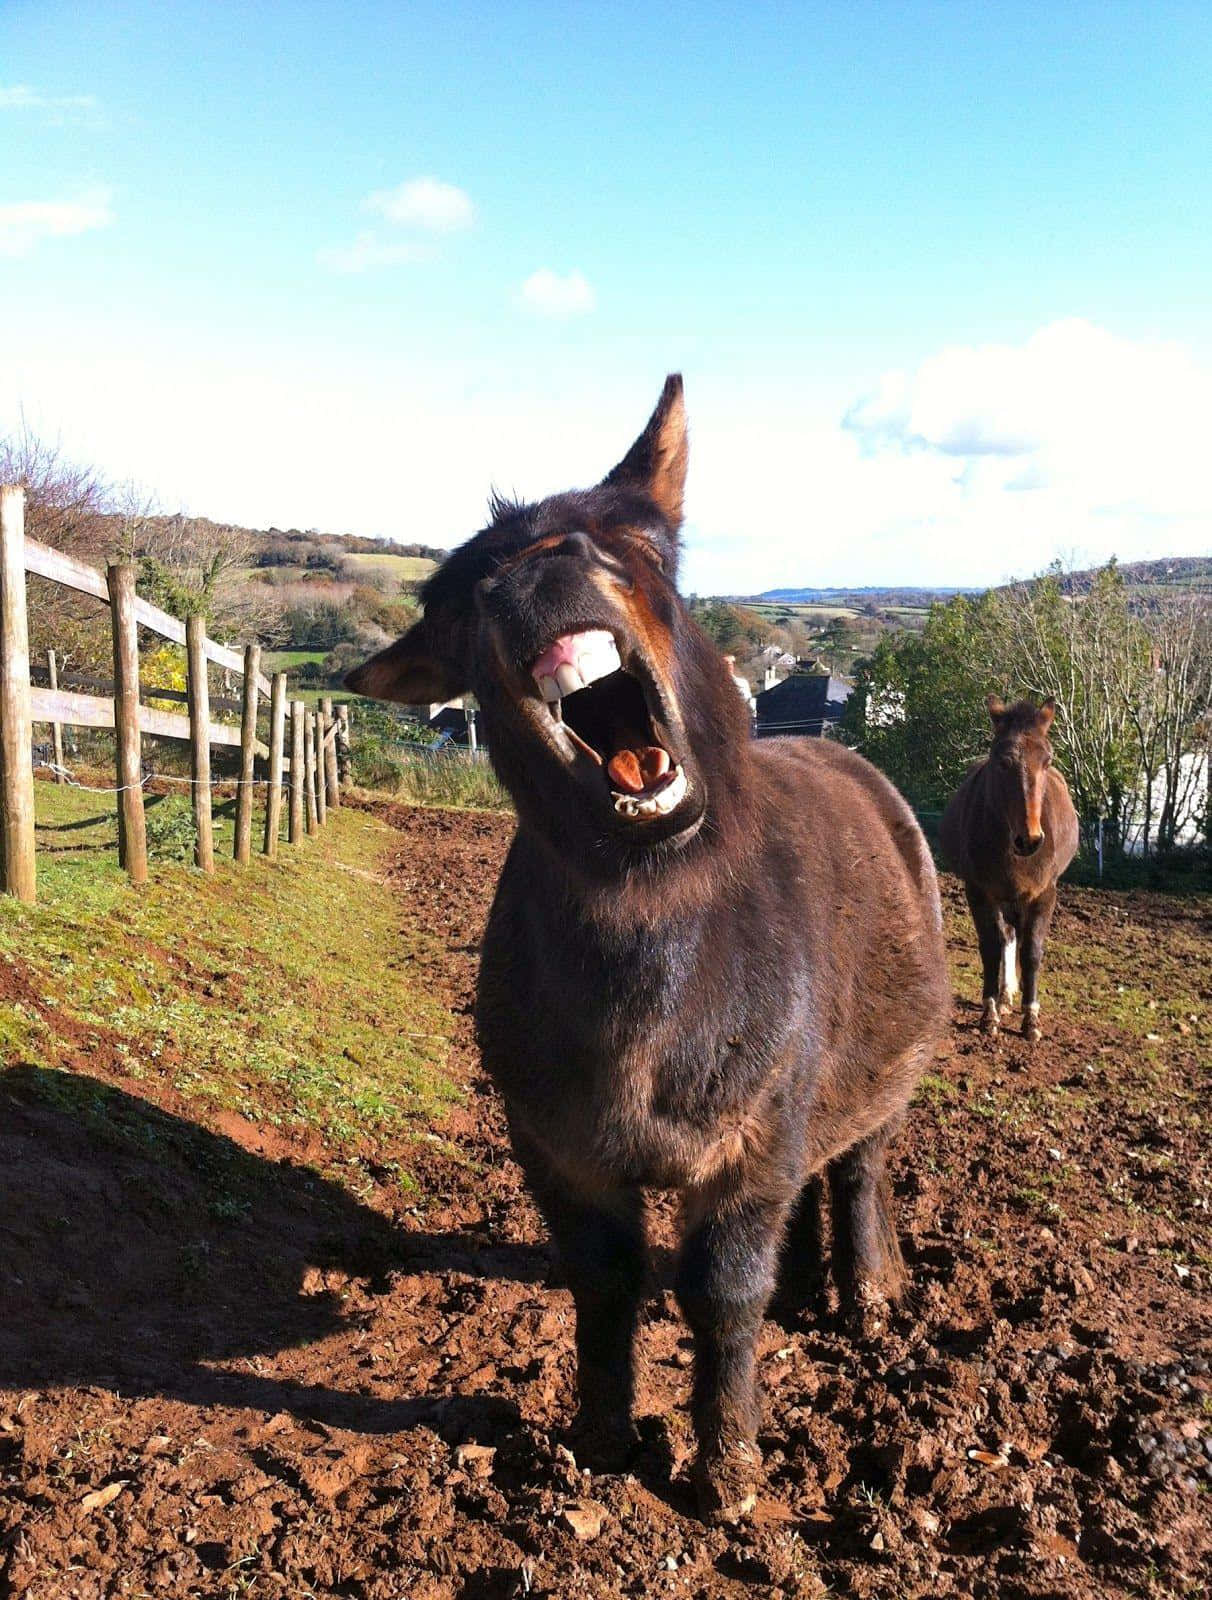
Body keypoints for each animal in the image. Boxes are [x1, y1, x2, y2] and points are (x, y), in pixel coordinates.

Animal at [346, 374, 952, 1523]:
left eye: (638, 541)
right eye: (460, 601)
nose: (535, 572)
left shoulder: (758, 1126)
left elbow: (720, 1292)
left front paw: (729, 1480)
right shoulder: (554, 1139)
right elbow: (604, 1281)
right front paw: (597, 1444)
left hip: (887, 1066)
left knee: (857, 1165)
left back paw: (866, 1299)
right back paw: (812, 1292)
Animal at [940, 694, 1080, 1043]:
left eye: (1046, 760)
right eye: (1002, 762)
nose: (1029, 840)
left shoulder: (1043, 894)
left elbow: (1032, 952)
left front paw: (1031, 1019)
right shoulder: (980, 892)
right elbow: (992, 946)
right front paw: (989, 1013)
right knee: (1006, 937)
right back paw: (1003, 997)